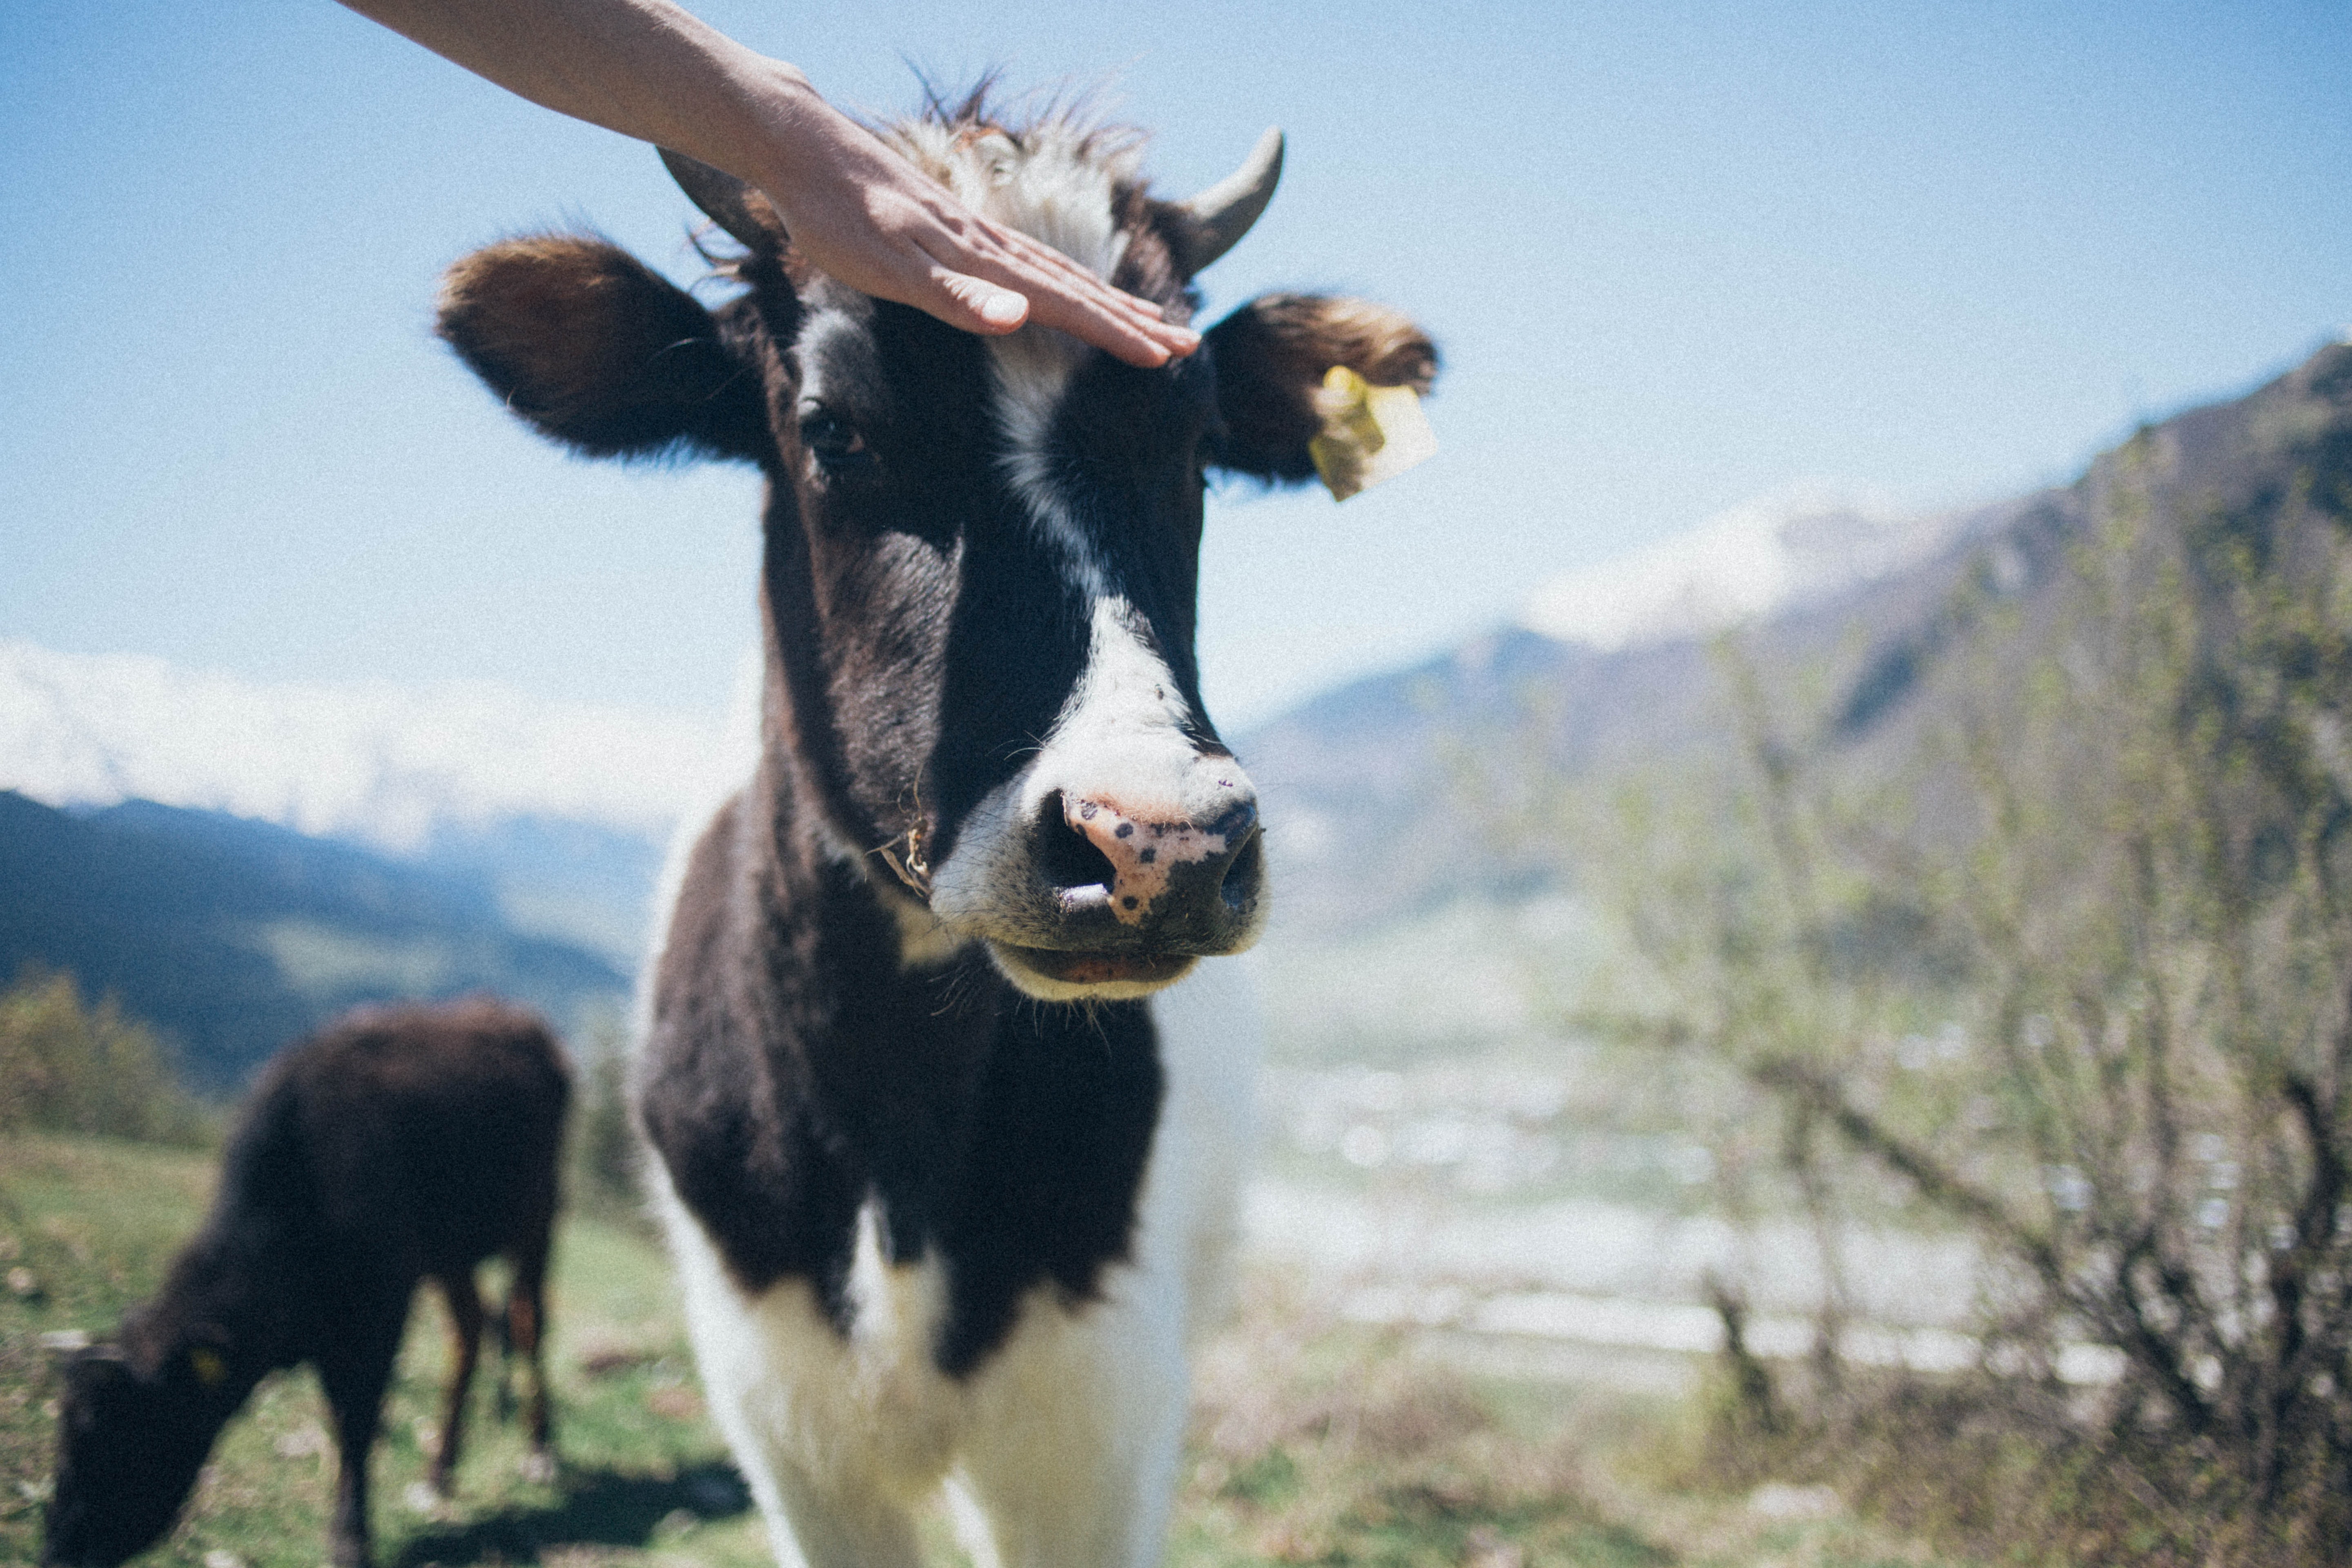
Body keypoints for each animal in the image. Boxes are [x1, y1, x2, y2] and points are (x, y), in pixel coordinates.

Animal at [43, 1006, 567, 1568]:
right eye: (64, 1433)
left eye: (122, 1434)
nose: (56, 1548)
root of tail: (517, 1019)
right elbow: (342, 1417)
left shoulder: (379, 1311)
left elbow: (357, 1421)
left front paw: (350, 1537)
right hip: (451, 1254)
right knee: (470, 1330)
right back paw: (438, 1473)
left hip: (538, 1216)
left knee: (527, 1321)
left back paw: (540, 1454)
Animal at [435, 95, 1439, 1568]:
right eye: (832, 427)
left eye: (1196, 441)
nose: (1161, 844)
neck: (895, 1129)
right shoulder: (784, 1421)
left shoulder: (1097, 1419)